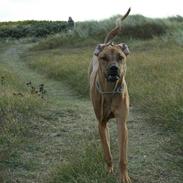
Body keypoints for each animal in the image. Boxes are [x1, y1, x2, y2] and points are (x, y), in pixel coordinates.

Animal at [88, 7, 132, 182]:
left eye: (121, 57)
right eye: (104, 58)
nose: (114, 68)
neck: (109, 91)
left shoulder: (122, 123)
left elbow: (123, 157)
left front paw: (124, 176)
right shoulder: (100, 122)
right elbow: (106, 150)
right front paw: (108, 169)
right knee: (105, 135)